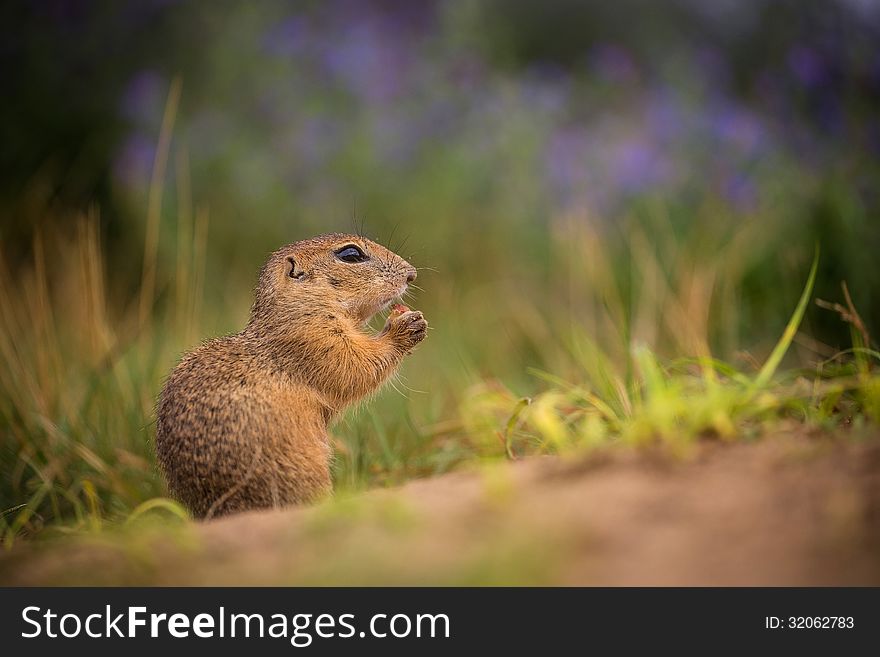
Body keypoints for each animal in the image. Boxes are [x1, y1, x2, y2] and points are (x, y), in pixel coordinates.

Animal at [156, 234, 428, 516]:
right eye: (351, 254)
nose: (411, 274)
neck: (300, 307)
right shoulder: (315, 339)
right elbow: (353, 365)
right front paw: (403, 328)